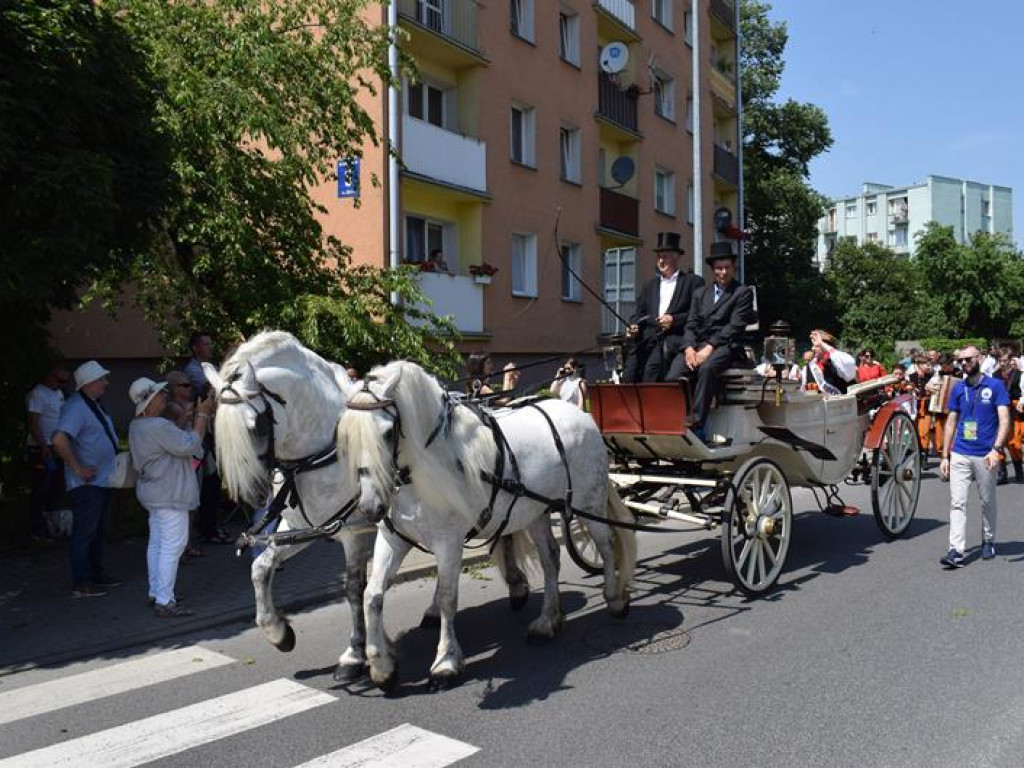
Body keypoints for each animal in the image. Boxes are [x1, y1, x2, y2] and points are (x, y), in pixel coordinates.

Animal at [339, 360, 634, 692]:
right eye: (347, 436)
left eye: (388, 432)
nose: (370, 506)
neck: (428, 467)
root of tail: (580, 414)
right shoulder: (394, 538)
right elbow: (372, 595)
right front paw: (381, 667)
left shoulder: (448, 543)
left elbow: (447, 598)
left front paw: (445, 663)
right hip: (536, 512)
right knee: (550, 558)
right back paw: (547, 622)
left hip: (588, 503)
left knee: (607, 546)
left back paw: (615, 598)